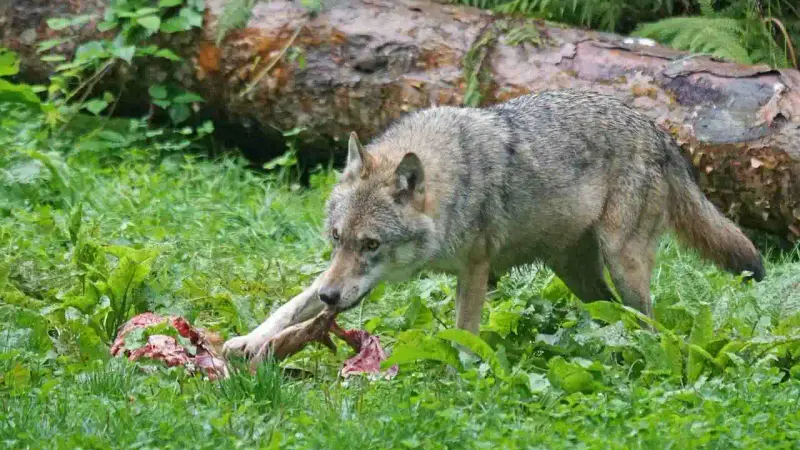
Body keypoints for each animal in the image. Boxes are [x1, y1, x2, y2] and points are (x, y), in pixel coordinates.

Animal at [223, 89, 765, 357]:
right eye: (338, 239)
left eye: (371, 245)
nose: (333, 299)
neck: (450, 184)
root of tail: (659, 131)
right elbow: (290, 305)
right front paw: (249, 341)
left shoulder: (476, 270)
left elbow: (464, 332)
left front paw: (460, 378)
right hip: (578, 274)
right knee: (613, 312)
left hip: (622, 262)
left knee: (649, 322)